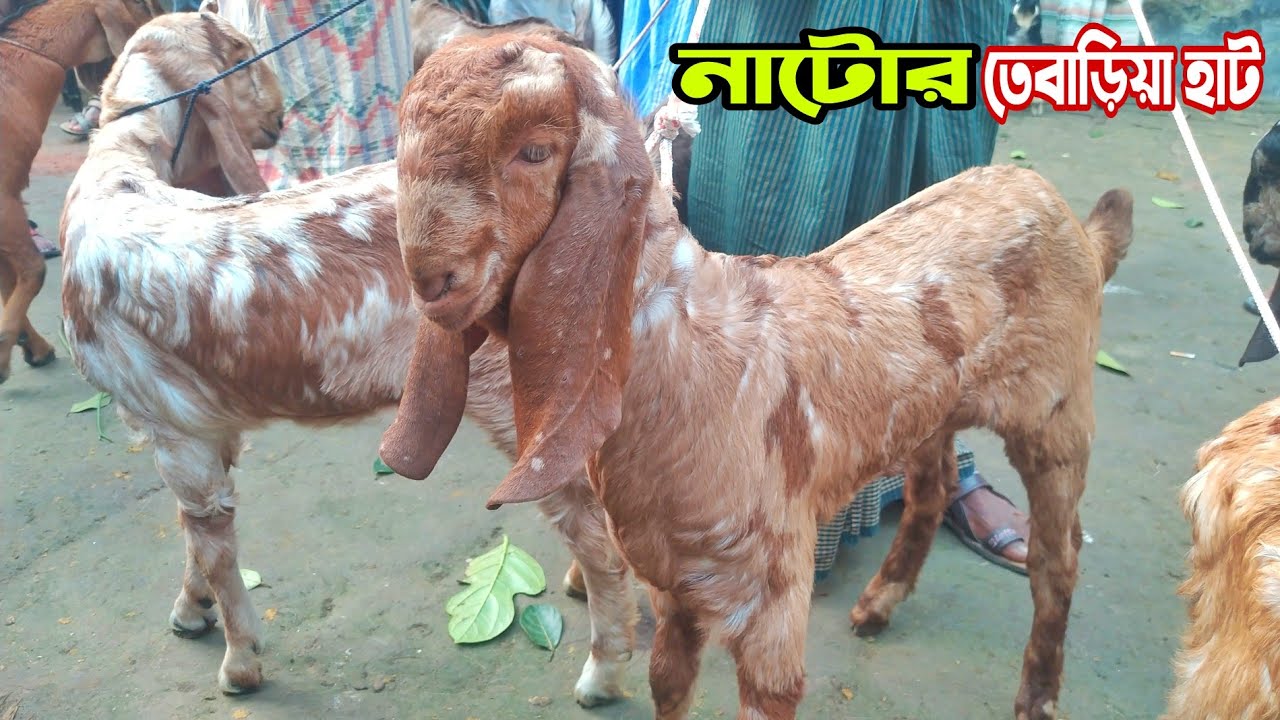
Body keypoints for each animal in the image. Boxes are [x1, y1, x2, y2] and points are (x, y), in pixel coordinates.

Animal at [60, 13, 636, 705]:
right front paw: (189, 608)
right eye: (242, 55)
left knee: (593, 524)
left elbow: (214, 542)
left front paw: (239, 662)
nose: (277, 122)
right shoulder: (206, 424)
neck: (117, 176)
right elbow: (196, 532)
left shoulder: (167, 422)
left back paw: (603, 670)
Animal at [383, 33, 1135, 720]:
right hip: (932, 410)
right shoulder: (672, 584)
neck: (690, 349)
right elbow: (667, 682)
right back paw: (879, 604)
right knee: (932, 487)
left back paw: (1036, 697)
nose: (430, 281)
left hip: (1059, 414)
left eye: (534, 152)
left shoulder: (767, 598)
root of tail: (1064, 213)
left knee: (1058, 559)